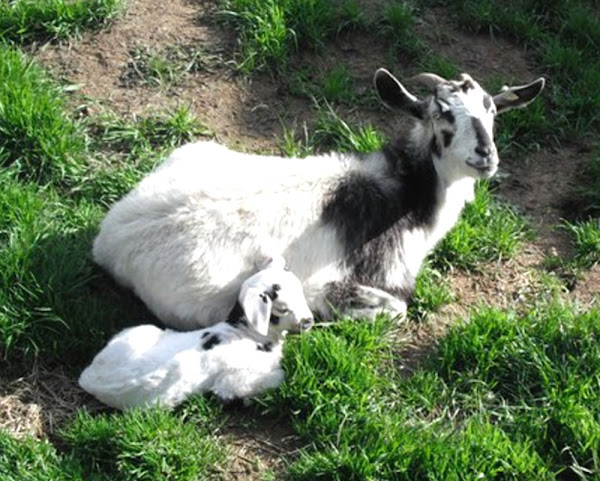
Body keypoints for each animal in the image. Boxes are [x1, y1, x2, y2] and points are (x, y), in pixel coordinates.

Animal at [78, 256, 314, 410]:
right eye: (282, 309)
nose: (309, 321)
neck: (246, 332)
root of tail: (88, 378)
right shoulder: (234, 380)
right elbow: (277, 376)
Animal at [92, 68, 544, 330]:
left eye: (491, 112)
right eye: (443, 114)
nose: (486, 155)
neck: (405, 196)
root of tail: (109, 239)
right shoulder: (339, 284)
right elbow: (393, 310)